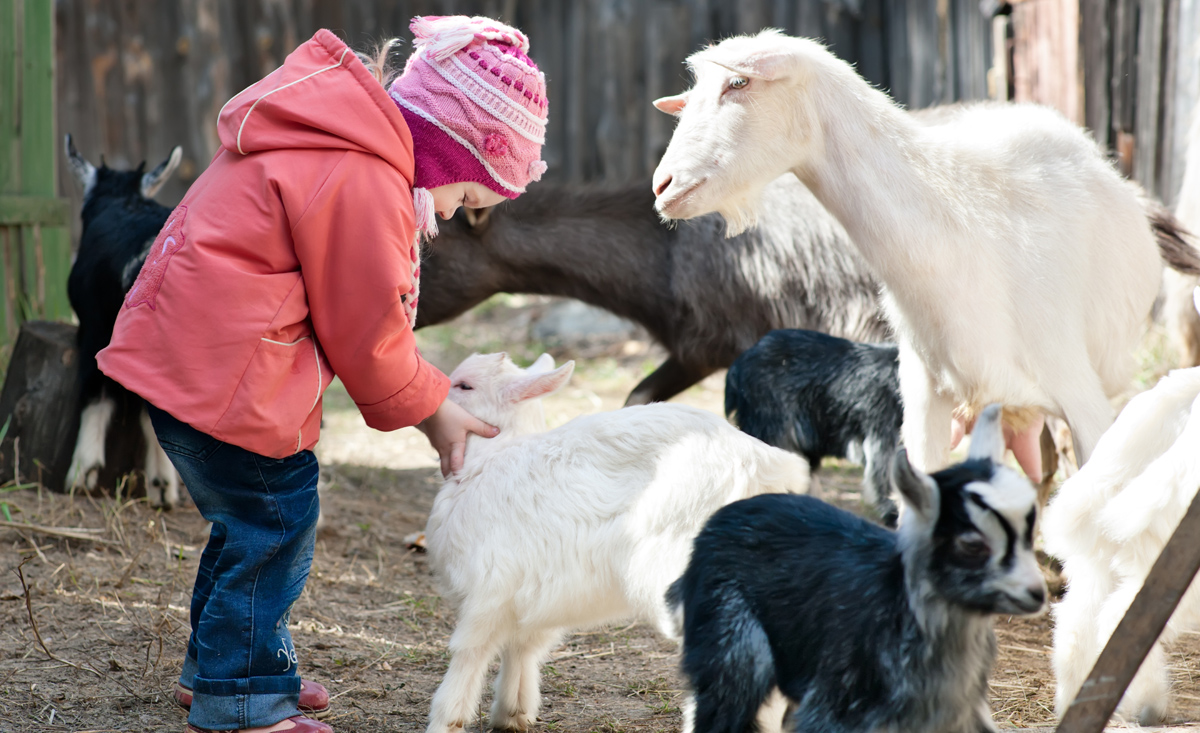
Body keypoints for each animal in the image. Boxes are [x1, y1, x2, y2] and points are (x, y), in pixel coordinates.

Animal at [420, 352, 806, 729]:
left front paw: (446, 721)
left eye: (465, 385)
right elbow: (522, 651)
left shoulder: (489, 594)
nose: (439, 401)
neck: (491, 456)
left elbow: (470, 653)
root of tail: (764, 465)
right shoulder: (531, 602)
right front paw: (513, 715)